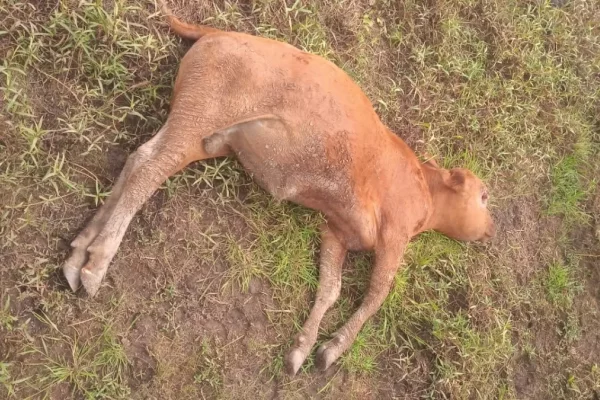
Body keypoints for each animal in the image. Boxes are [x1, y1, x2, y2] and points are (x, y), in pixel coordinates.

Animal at [61, 3, 494, 376]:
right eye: (484, 195)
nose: (491, 228)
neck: (424, 184)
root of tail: (218, 33)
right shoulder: (395, 234)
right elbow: (375, 296)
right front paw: (332, 349)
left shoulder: (335, 231)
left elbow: (330, 289)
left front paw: (301, 349)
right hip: (201, 114)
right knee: (148, 172)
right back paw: (97, 264)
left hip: (200, 132)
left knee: (138, 159)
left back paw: (79, 252)